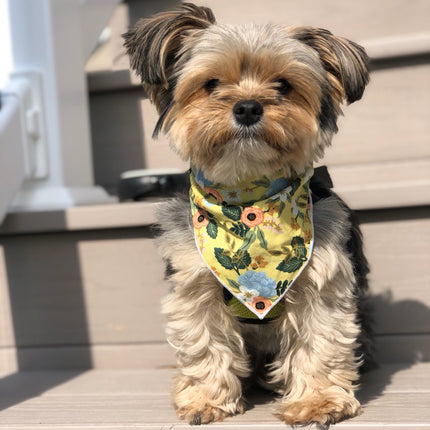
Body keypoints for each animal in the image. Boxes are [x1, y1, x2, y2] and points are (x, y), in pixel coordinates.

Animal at [124, 3, 372, 424]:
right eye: (210, 84)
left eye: (284, 85)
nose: (248, 107)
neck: (246, 204)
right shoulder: (194, 283)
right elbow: (204, 343)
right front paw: (205, 399)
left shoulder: (323, 282)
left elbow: (320, 341)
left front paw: (317, 401)